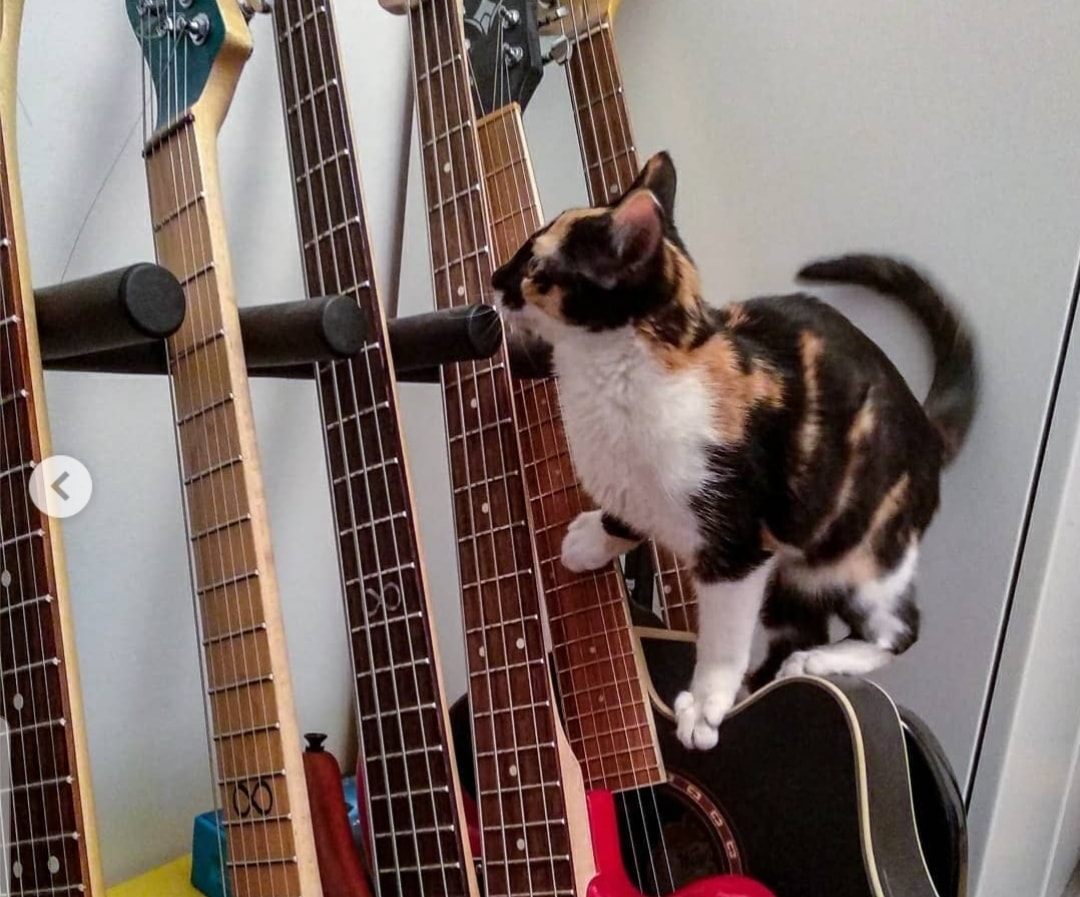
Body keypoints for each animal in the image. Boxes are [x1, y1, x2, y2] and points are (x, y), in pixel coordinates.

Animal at [492, 151, 977, 750]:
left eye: (535, 266)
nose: (494, 278)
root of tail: (926, 429)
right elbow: (627, 507)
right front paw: (594, 537)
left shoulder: (738, 545)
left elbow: (722, 635)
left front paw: (705, 703)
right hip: (796, 580)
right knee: (798, 628)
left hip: (859, 556)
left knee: (898, 628)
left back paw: (819, 662)